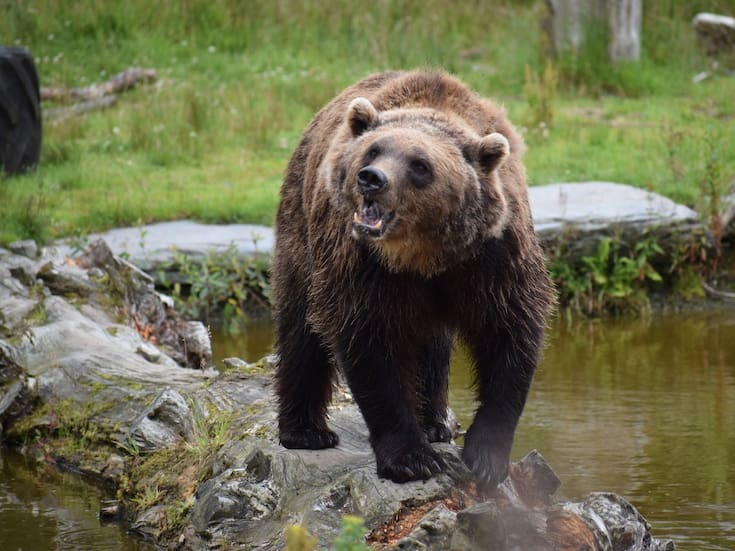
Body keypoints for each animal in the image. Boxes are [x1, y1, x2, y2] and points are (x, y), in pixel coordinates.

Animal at [272, 70, 553, 491]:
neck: (424, 255)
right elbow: (372, 346)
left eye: (420, 165)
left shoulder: (494, 258)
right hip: (302, 233)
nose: (371, 179)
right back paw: (306, 431)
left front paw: (487, 457)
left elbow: (509, 335)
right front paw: (411, 459)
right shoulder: (362, 265)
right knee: (301, 329)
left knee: (434, 348)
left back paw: (436, 423)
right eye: (373, 151)